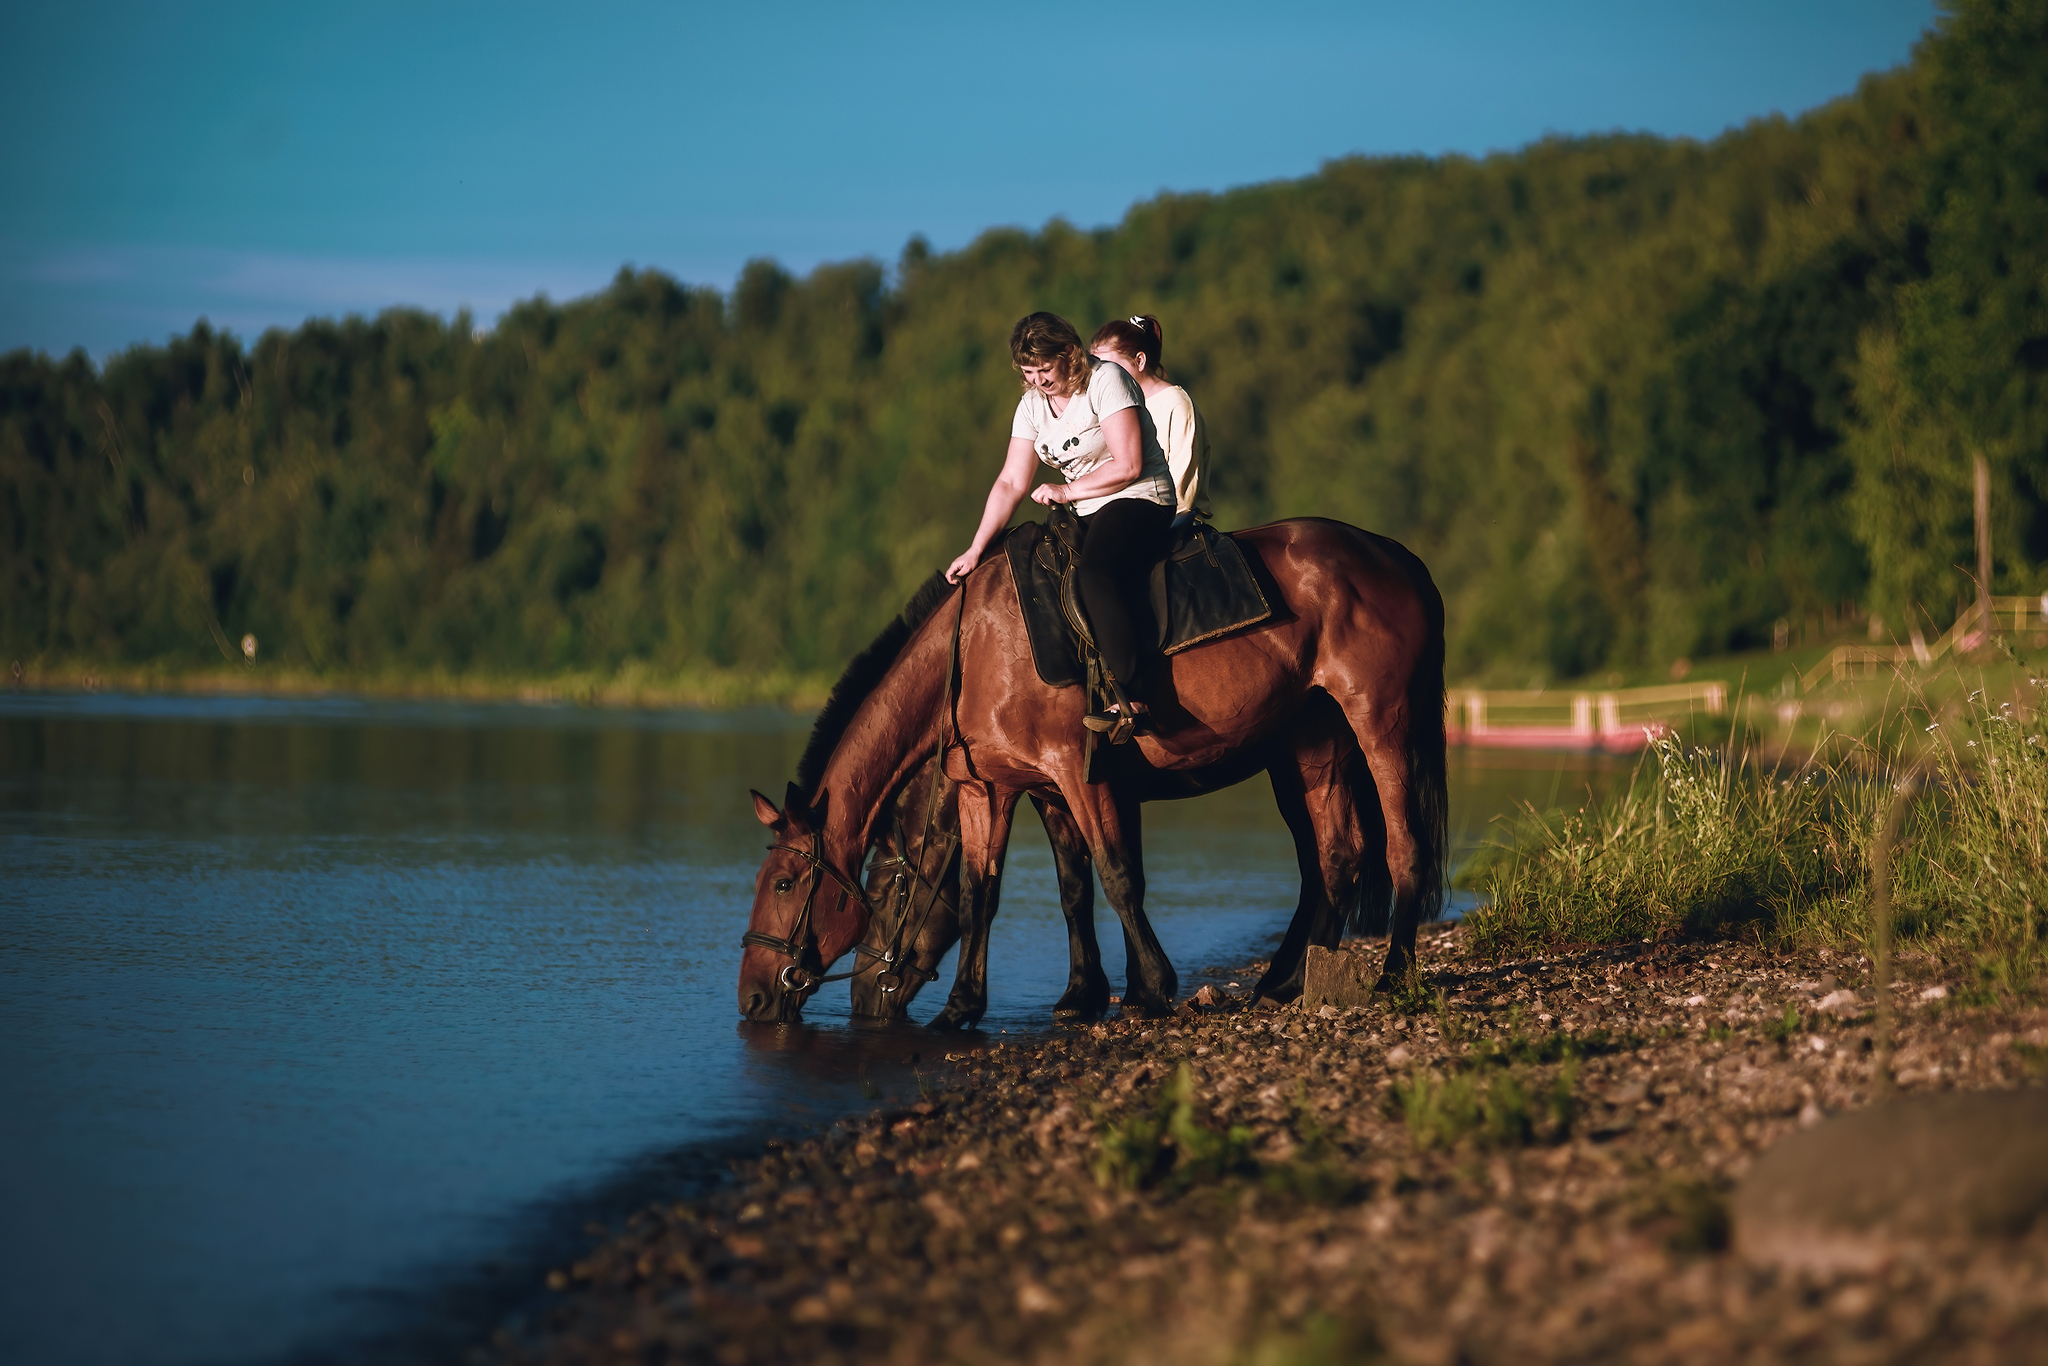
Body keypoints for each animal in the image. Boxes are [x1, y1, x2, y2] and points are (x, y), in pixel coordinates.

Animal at [839, 696, 1384, 1023]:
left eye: (882, 896)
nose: (860, 999)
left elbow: (1117, 878)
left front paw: (1138, 990)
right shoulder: (1064, 797)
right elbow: (1079, 884)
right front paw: (1094, 992)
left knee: (1330, 859)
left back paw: (1290, 981)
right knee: (1318, 865)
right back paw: (1281, 978)